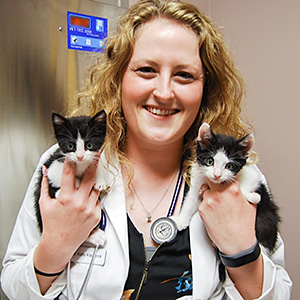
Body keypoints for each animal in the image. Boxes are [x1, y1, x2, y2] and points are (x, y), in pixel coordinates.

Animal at [172, 122, 280, 260]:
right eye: (210, 161)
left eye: (229, 166)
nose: (217, 175)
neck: (216, 183)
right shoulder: (198, 181)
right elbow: (190, 201)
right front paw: (181, 220)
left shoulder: (252, 175)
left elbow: (247, 184)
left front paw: (253, 197)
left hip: (264, 222)